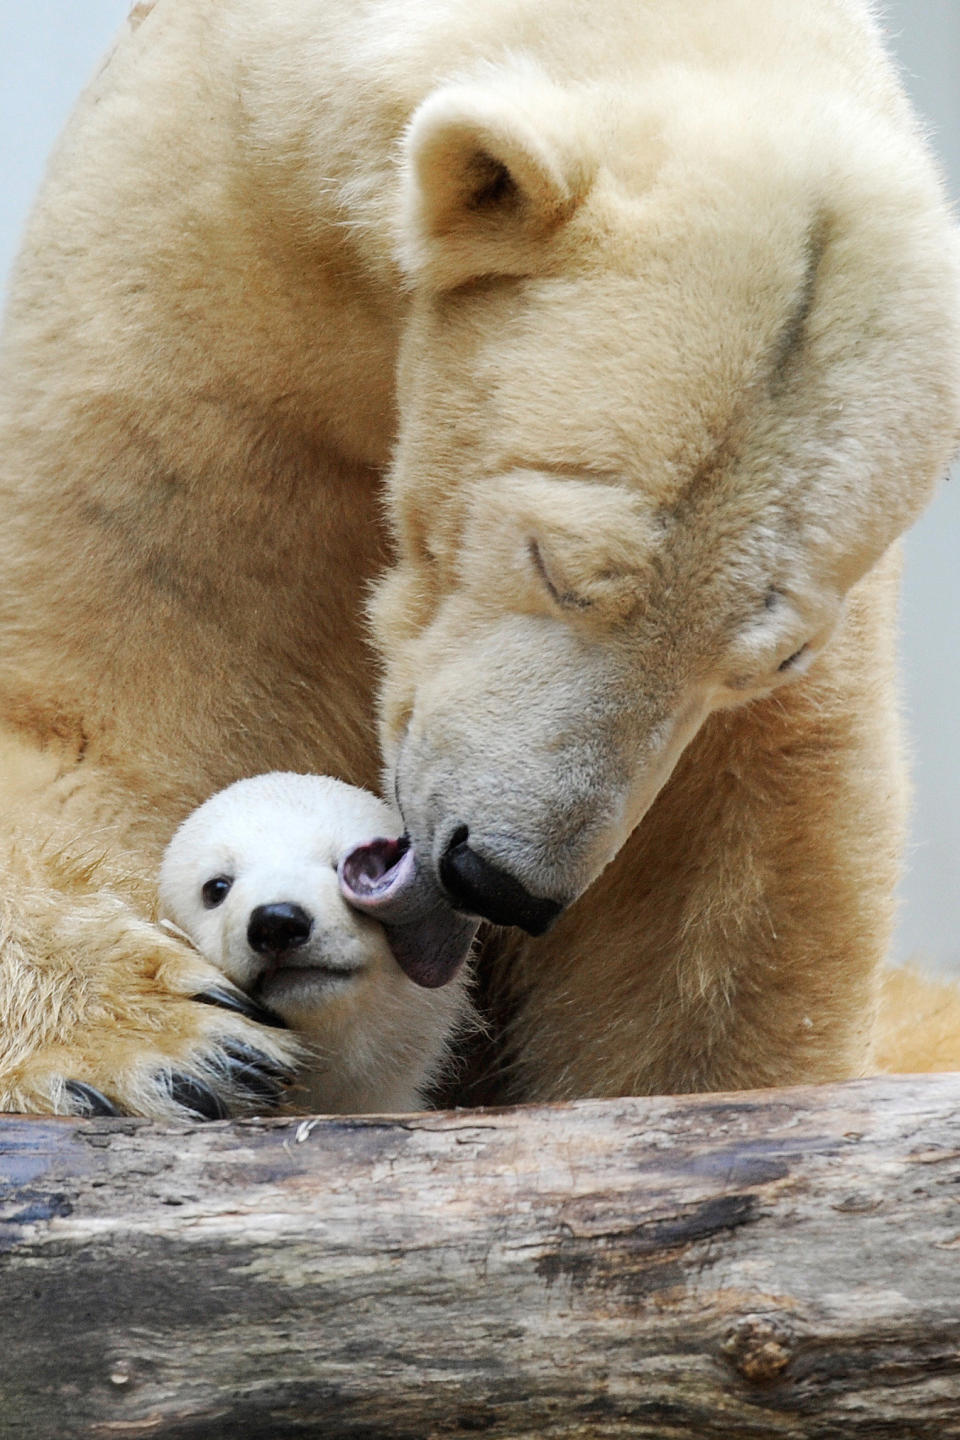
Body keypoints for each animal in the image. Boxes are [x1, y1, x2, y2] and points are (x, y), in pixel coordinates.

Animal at [0, 0, 955, 1111]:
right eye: (558, 566)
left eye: (765, 660)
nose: (498, 879)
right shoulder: (209, 291)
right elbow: (110, 696)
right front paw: (167, 1045)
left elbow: (733, 877)